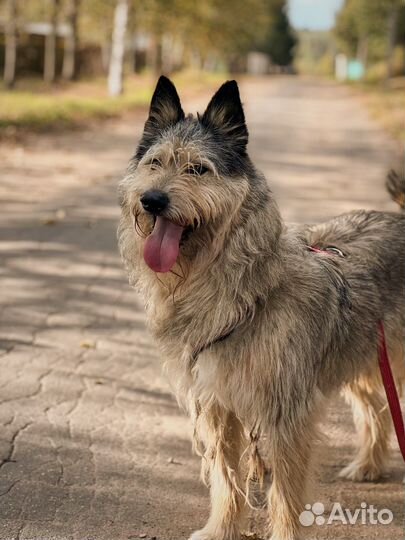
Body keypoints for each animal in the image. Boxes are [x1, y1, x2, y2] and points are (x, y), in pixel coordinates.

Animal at [117, 77, 404, 540]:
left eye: (198, 169)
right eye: (154, 163)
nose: (152, 200)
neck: (245, 295)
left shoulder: (287, 412)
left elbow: (284, 493)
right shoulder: (216, 405)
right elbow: (226, 479)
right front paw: (220, 529)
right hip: (358, 358)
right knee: (377, 411)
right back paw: (368, 466)